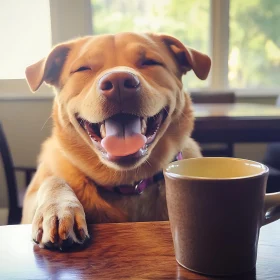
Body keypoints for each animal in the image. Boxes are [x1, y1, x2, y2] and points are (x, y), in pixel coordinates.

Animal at [22, 32, 210, 249]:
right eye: (83, 68)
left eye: (150, 62)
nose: (119, 82)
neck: (127, 183)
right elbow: (53, 180)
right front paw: (60, 208)